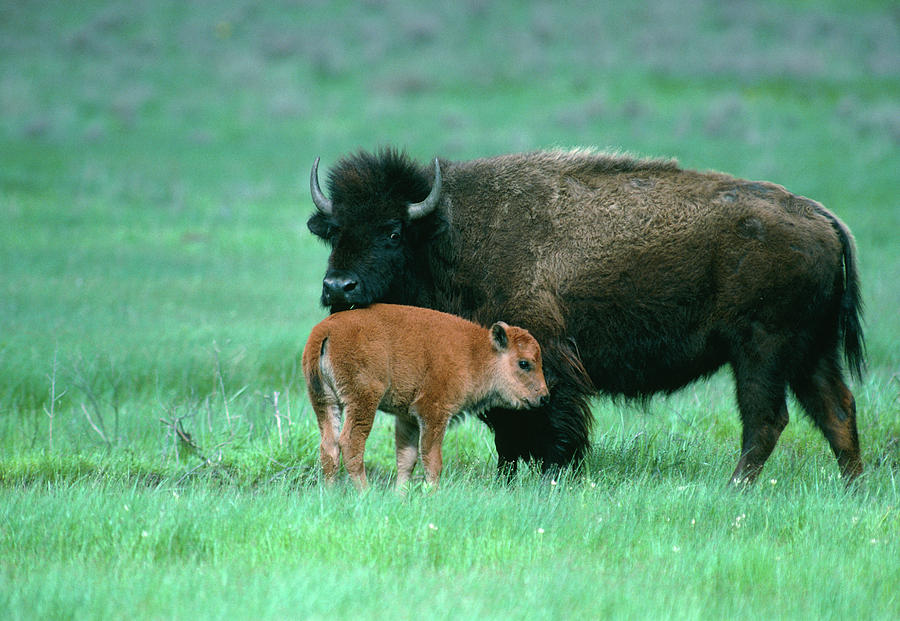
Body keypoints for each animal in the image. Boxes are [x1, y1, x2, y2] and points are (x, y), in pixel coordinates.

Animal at [302, 302, 548, 486]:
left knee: (329, 448)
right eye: (524, 363)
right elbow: (432, 460)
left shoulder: (407, 419)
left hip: (324, 402)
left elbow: (406, 460)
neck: (475, 352)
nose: (544, 397)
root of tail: (326, 330)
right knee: (351, 444)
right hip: (362, 401)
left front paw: (400, 497)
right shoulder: (433, 413)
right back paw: (366, 493)